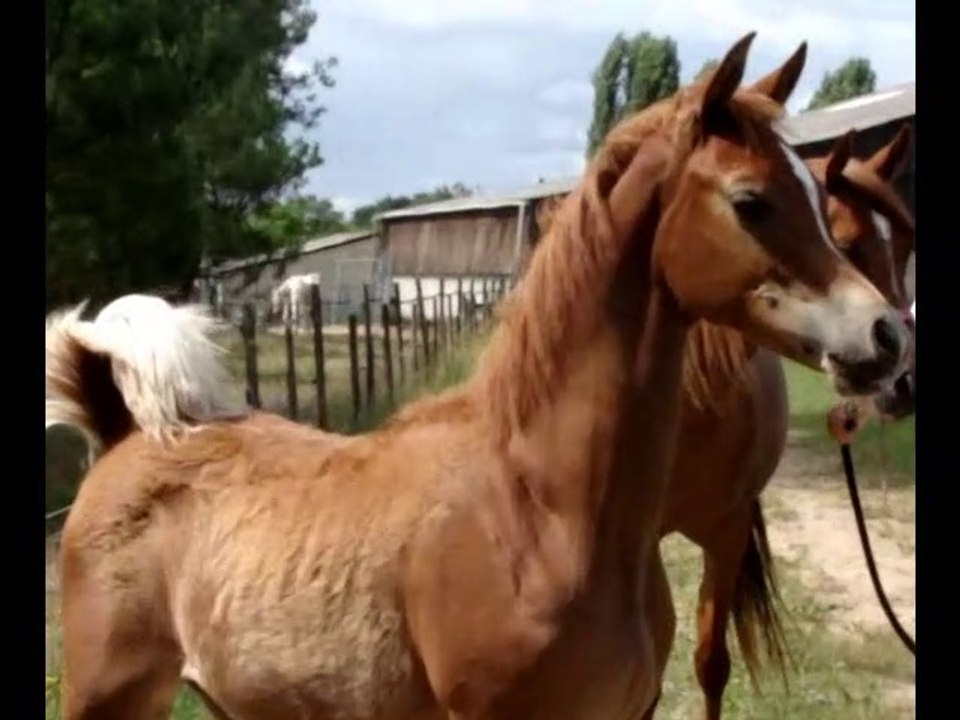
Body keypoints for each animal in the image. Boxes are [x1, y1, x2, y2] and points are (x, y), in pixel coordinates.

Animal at [46, 33, 912, 720]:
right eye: (751, 201)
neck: (539, 511)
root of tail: (122, 433)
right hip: (107, 699)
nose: (888, 340)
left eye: (816, 198)